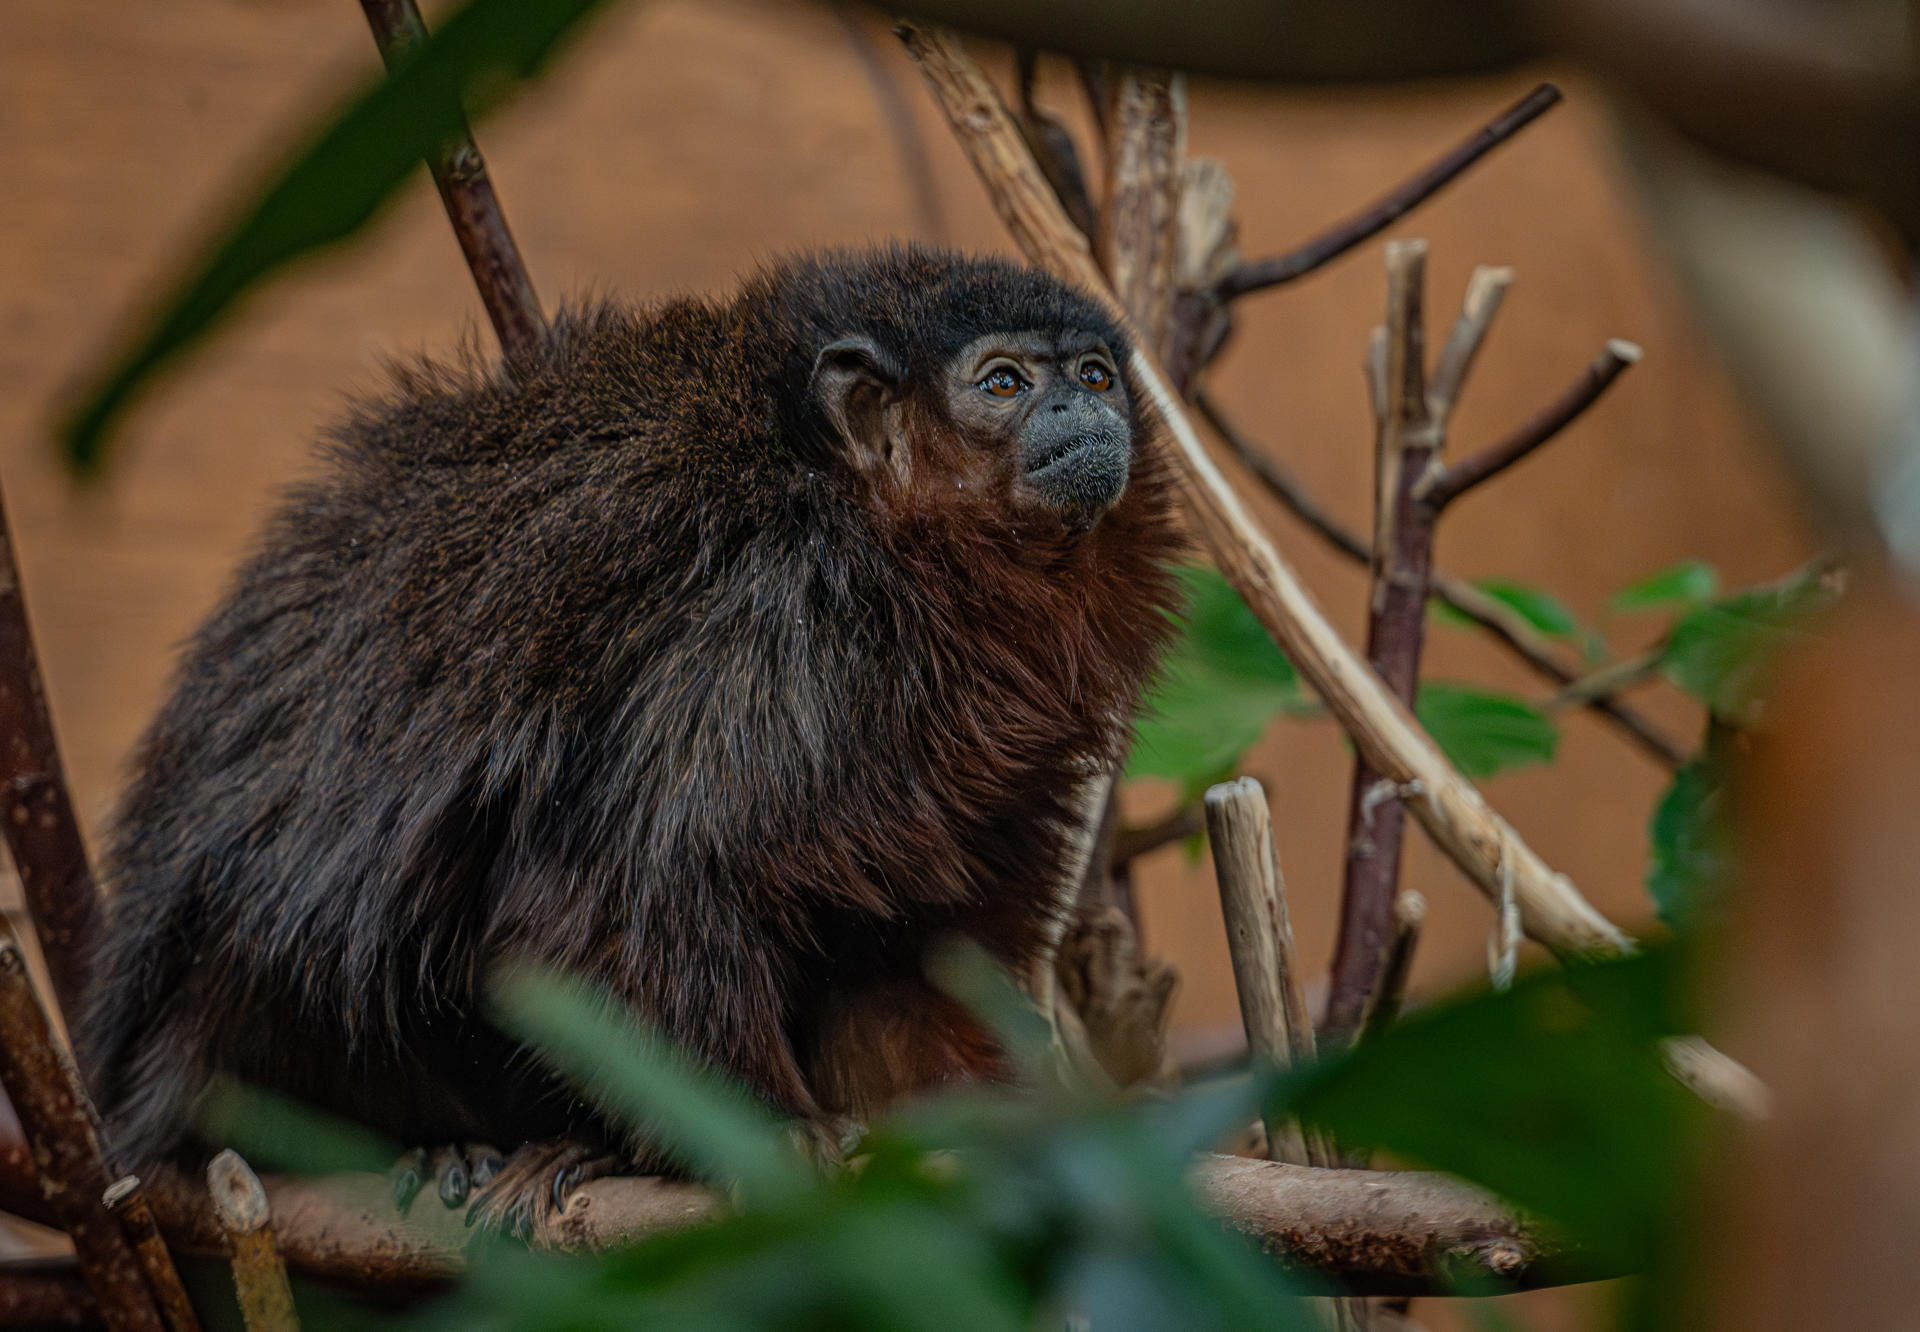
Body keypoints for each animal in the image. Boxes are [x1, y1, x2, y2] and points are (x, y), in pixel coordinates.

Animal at [78, 244, 1184, 1227]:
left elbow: (903, 950)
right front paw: (760, 1132)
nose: (1082, 409)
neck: (880, 533)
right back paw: (446, 1146)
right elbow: (619, 899)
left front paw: (998, 1118)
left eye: (1093, 372)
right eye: (1004, 382)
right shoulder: (773, 636)